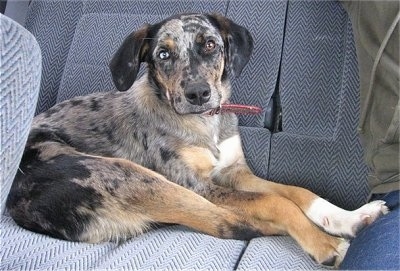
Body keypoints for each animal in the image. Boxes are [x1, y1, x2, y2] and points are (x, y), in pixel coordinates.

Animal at [6, 12, 388, 268]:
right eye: (162, 54)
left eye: (210, 45)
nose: (198, 94)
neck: (205, 125)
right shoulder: (199, 184)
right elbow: (277, 203)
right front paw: (326, 244)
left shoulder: (234, 172)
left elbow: (298, 193)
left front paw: (345, 218)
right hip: (132, 175)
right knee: (231, 224)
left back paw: (361, 218)